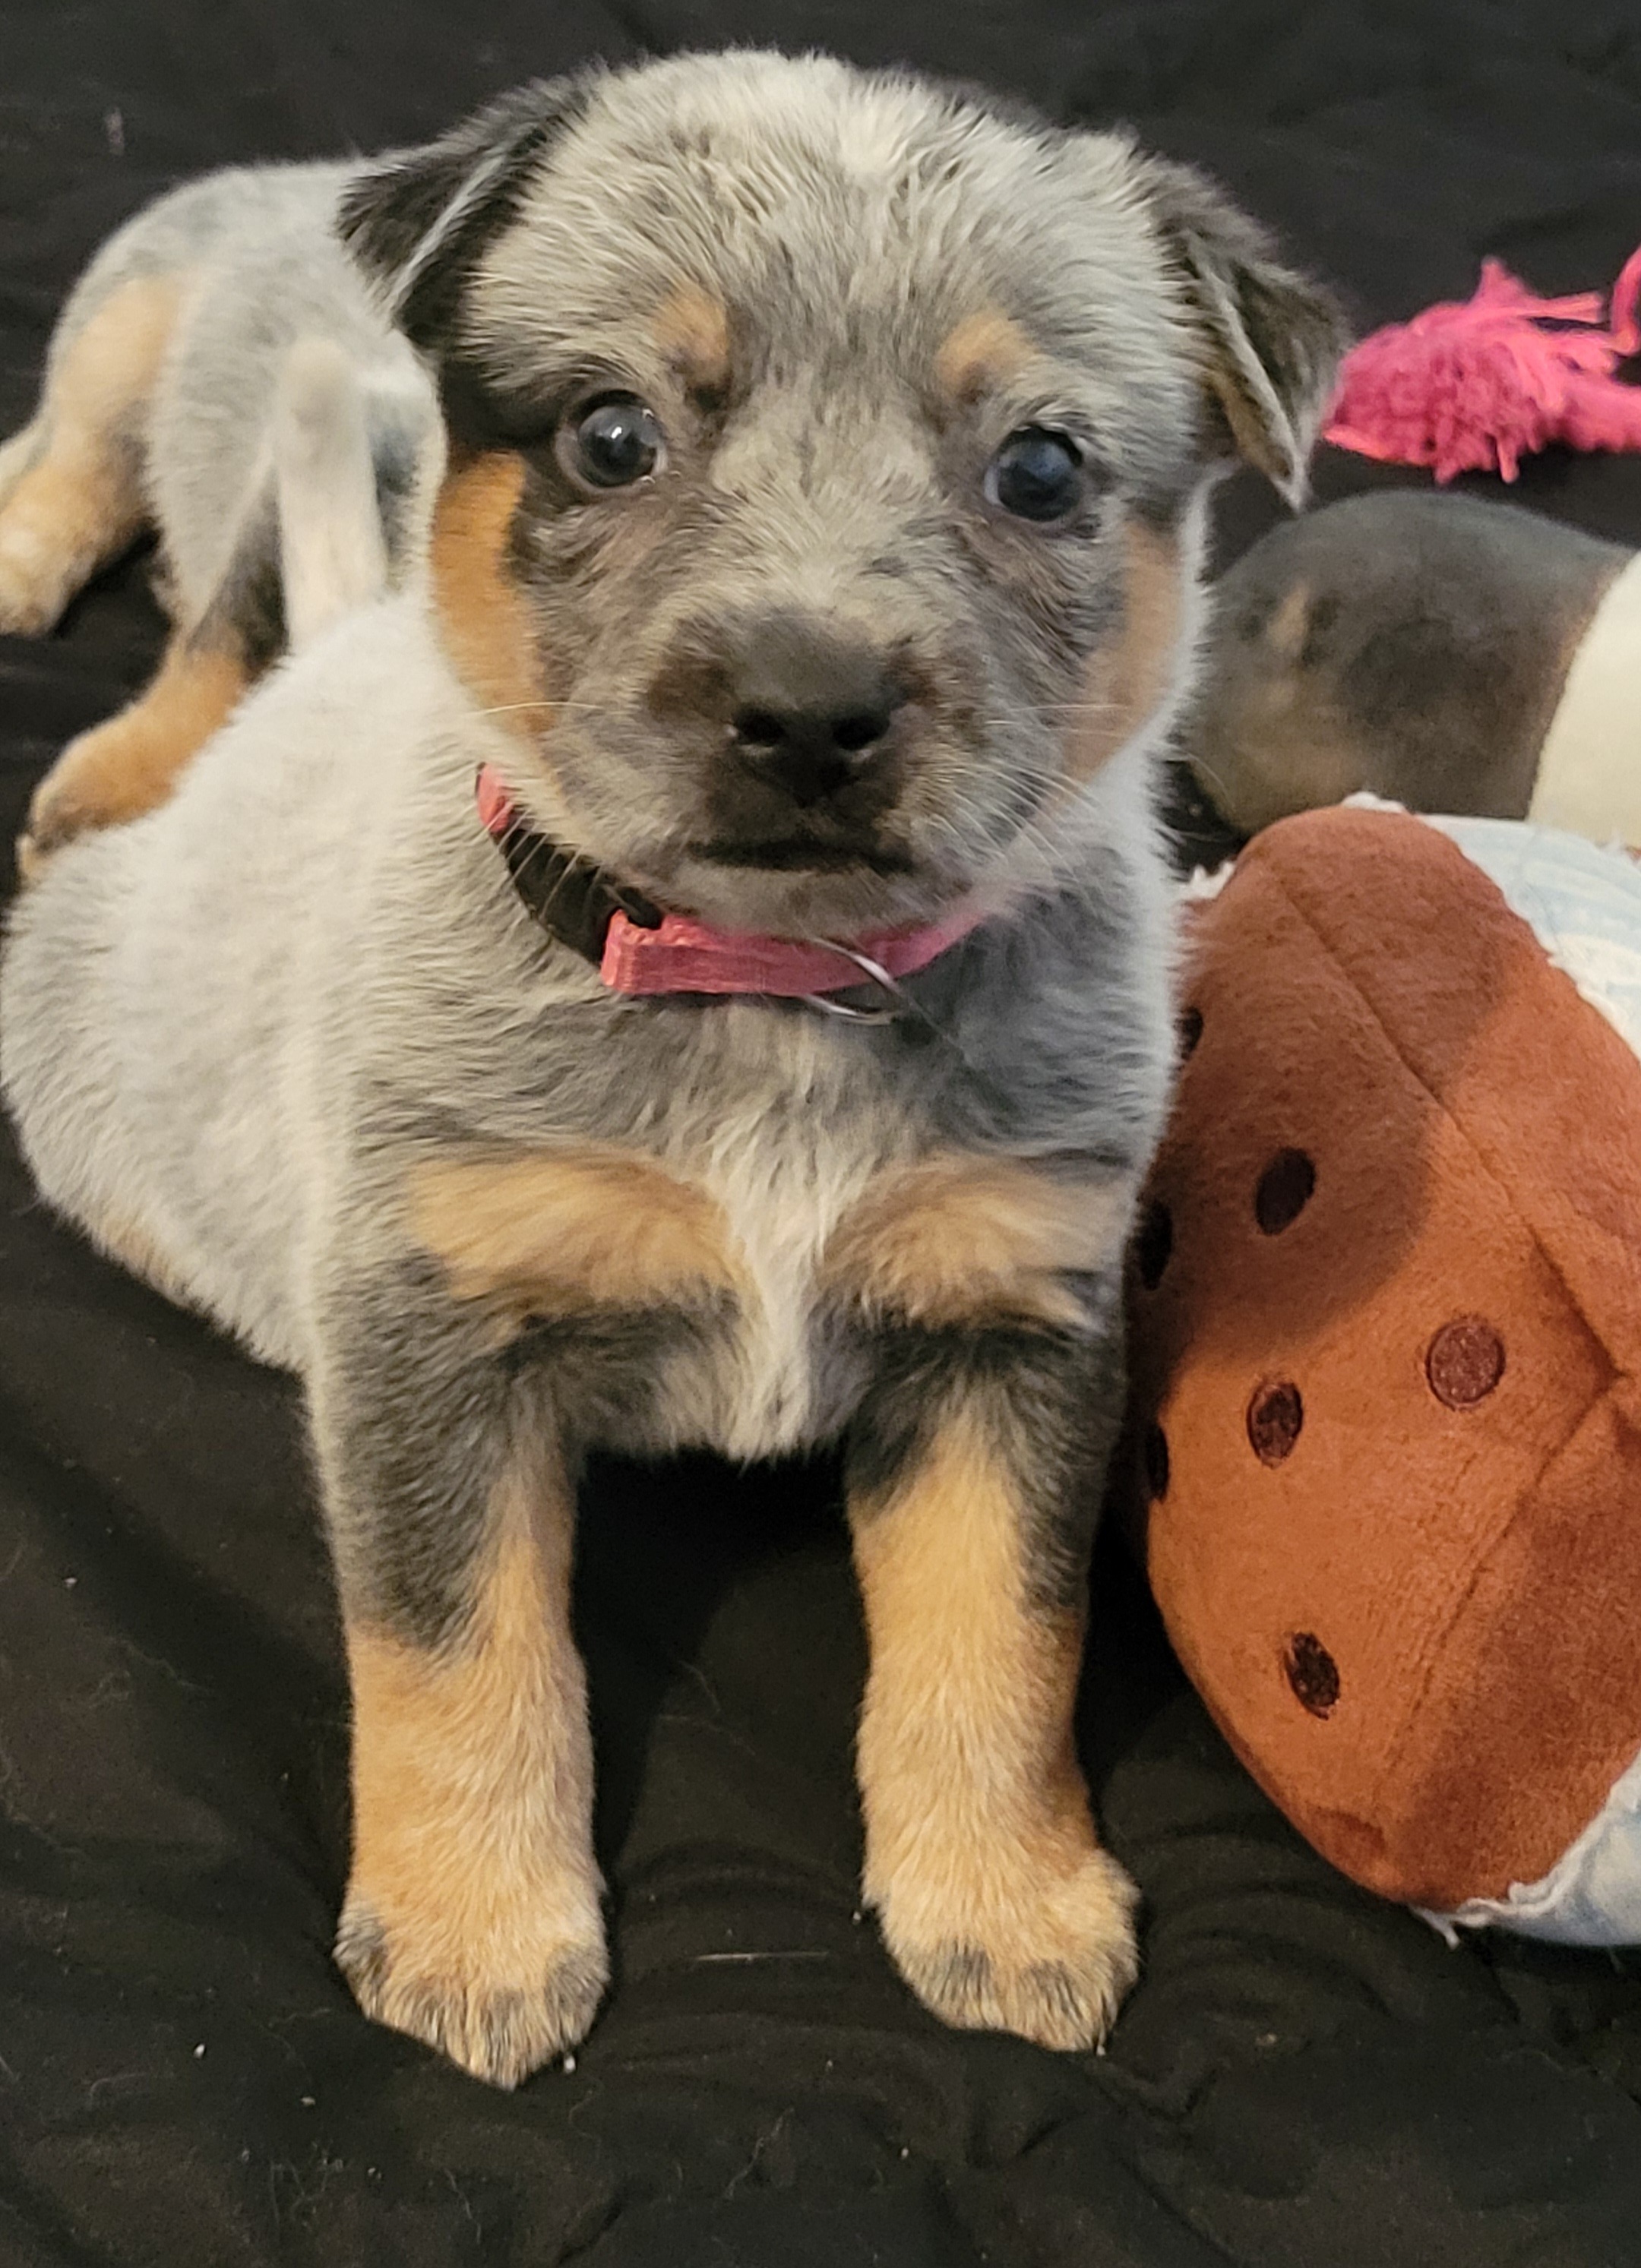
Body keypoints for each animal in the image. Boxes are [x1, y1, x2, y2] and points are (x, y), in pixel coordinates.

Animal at [0, 51, 1343, 2086]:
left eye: (1039, 466)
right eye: (612, 434)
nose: (806, 708)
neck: (771, 994)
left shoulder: (1017, 1314)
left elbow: (1001, 1639)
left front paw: (1005, 1896)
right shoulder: (434, 1310)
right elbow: (459, 1645)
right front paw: (479, 1927)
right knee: (99, 472)